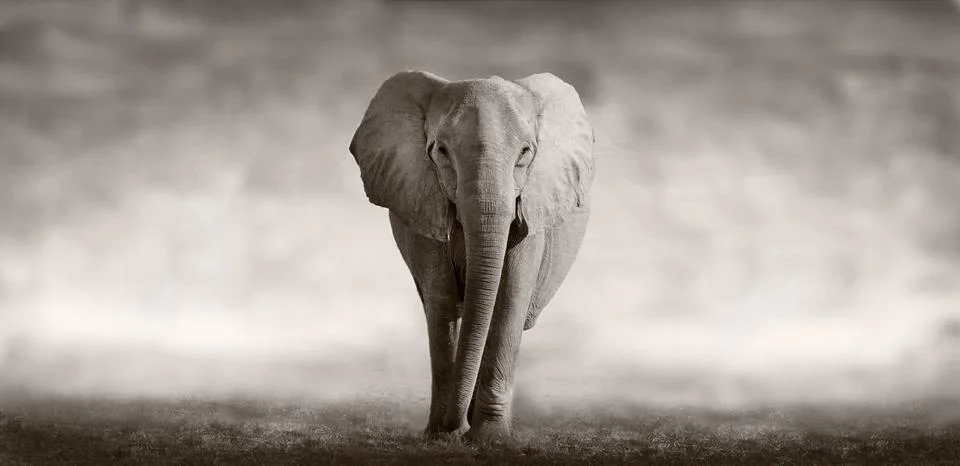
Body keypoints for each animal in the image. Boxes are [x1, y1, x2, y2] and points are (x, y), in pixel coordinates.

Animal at [348, 70, 594, 442]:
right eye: (441, 151)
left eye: (525, 152)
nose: (456, 427)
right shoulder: (423, 201)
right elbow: (442, 301)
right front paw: (442, 436)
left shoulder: (531, 207)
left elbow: (508, 300)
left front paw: (489, 439)